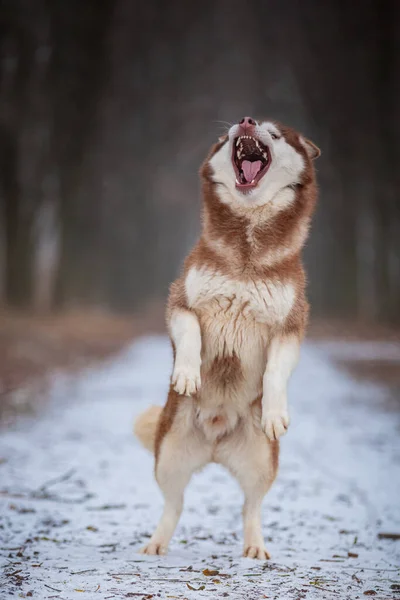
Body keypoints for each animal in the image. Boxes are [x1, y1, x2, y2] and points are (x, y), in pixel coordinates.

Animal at [134, 116, 318, 556]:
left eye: (275, 133)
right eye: (231, 131)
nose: (247, 121)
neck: (246, 251)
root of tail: (216, 443)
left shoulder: (291, 324)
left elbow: (275, 371)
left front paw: (275, 411)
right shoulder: (181, 301)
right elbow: (189, 335)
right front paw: (186, 374)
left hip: (262, 462)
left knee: (251, 506)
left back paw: (256, 546)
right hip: (169, 454)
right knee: (174, 503)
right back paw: (156, 543)